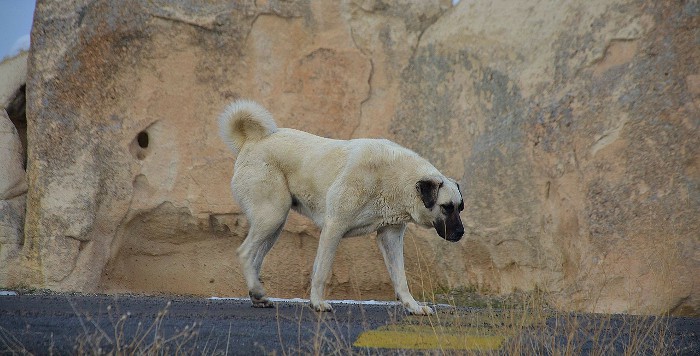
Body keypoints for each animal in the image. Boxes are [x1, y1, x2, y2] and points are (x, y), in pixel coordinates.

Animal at [216, 99, 462, 314]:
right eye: (446, 207)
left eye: (460, 208)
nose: (461, 233)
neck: (396, 178)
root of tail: (253, 141)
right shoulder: (334, 227)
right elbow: (321, 271)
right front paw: (318, 303)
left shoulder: (390, 236)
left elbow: (400, 279)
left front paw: (414, 307)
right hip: (272, 216)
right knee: (245, 253)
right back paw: (257, 291)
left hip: (274, 225)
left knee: (255, 258)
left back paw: (258, 295)